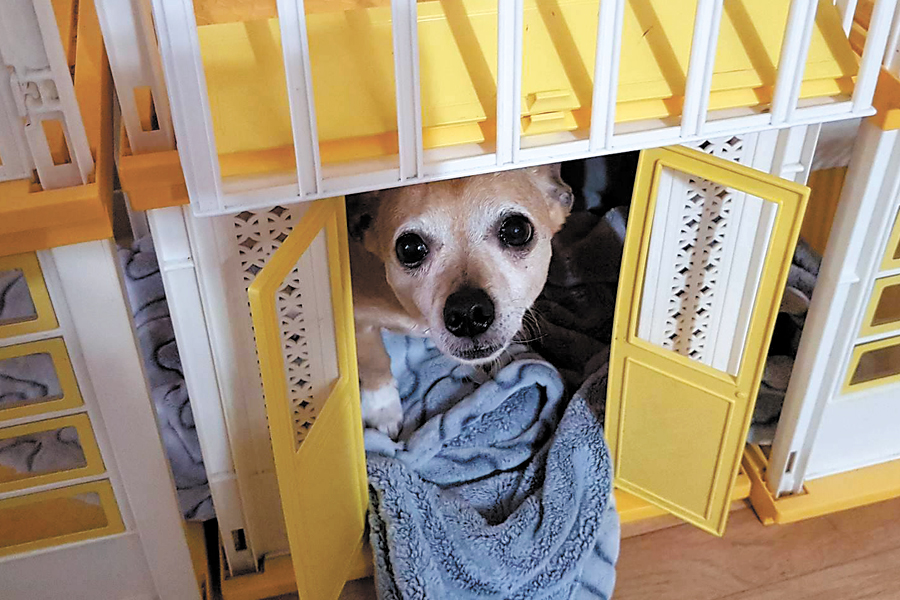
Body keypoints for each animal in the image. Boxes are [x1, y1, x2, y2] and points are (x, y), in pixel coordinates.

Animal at [348, 164, 572, 436]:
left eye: (517, 230)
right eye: (409, 248)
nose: (468, 313)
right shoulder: (359, 317)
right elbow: (375, 362)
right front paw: (383, 409)